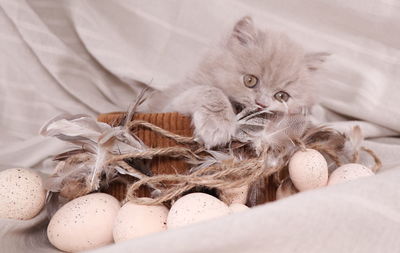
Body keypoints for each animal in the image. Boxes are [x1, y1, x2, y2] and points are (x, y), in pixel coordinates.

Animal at [142, 16, 326, 148]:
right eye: (250, 80)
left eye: (282, 96)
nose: (261, 104)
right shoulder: (170, 105)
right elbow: (210, 90)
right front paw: (217, 125)